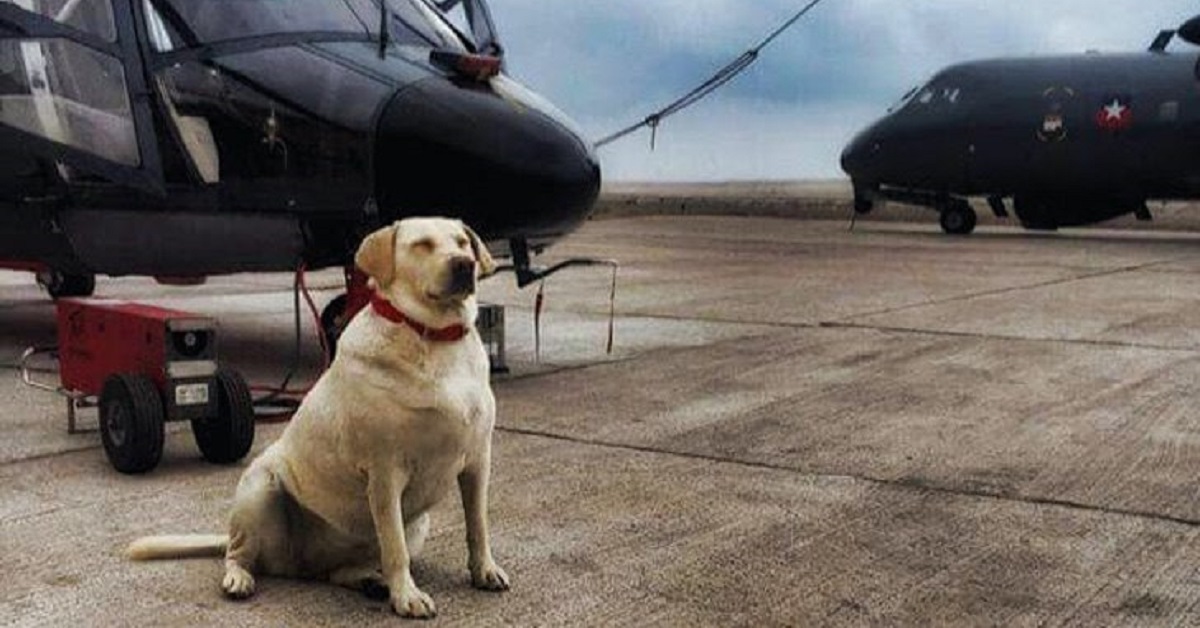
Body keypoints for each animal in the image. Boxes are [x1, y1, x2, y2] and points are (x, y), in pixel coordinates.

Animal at [127, 216, 511, 619]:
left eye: (462, 243)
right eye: (422, 244)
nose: (465, 265)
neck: (434, 339)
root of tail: (301, 565)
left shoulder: (477, 462)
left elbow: (478, 526)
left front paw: (484, 570)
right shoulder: (385, 473)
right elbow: (395, 549)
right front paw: (407, 595)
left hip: (416, 523)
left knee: (340, 571)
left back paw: (370, 580)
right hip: (260, 489)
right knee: (238, 552)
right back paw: (239, 577)